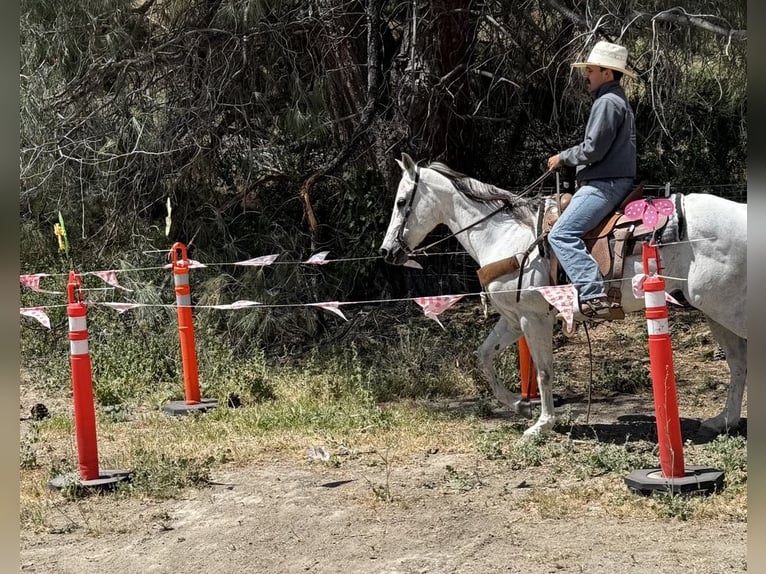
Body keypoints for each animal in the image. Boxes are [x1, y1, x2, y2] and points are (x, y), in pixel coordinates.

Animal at [379, 153, 747, 440]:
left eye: (401, 202)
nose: (387, 252)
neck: (505, 235)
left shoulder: (534, 319)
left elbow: (543, 371)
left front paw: (541, 424)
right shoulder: (513, 320)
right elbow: (483, 356)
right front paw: (518, 405)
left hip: (727, 308)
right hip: (714, 311)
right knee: (738, 362)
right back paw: (722, 421)